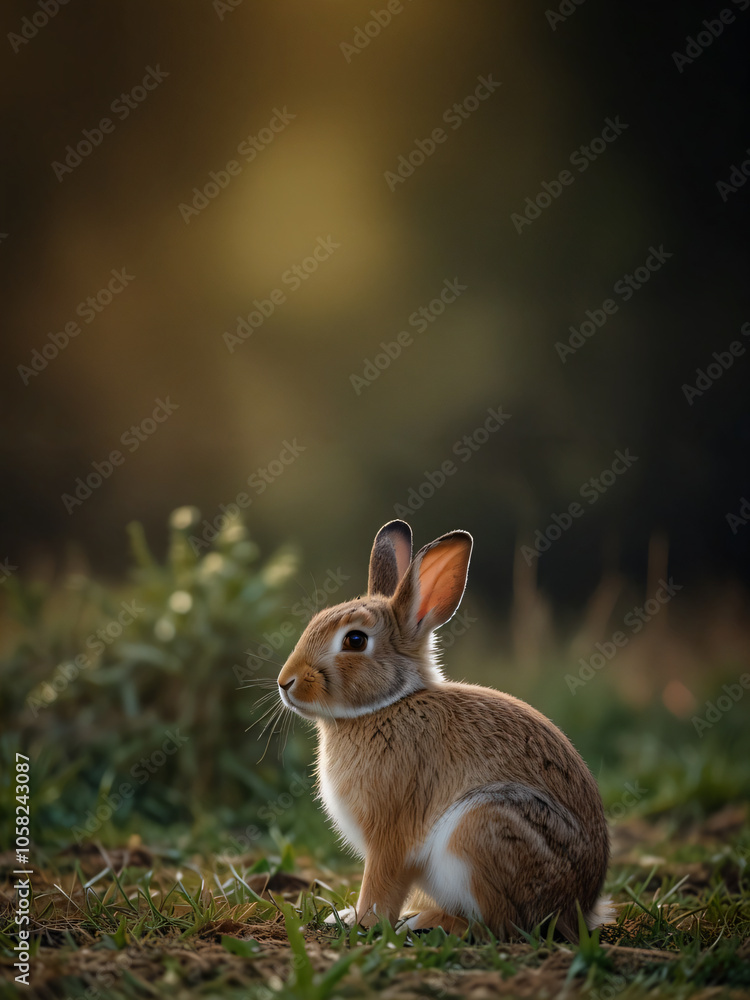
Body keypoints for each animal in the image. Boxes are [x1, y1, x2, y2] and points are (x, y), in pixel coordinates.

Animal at [276, 519, 612, 940]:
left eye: (355, 640)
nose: (285, 682)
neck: (386, 706)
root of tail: (580, 908)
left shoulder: (391, 833)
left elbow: (381, 883)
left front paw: (362, 921)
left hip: (482, 829)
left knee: (500, 924)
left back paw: (428, 921)